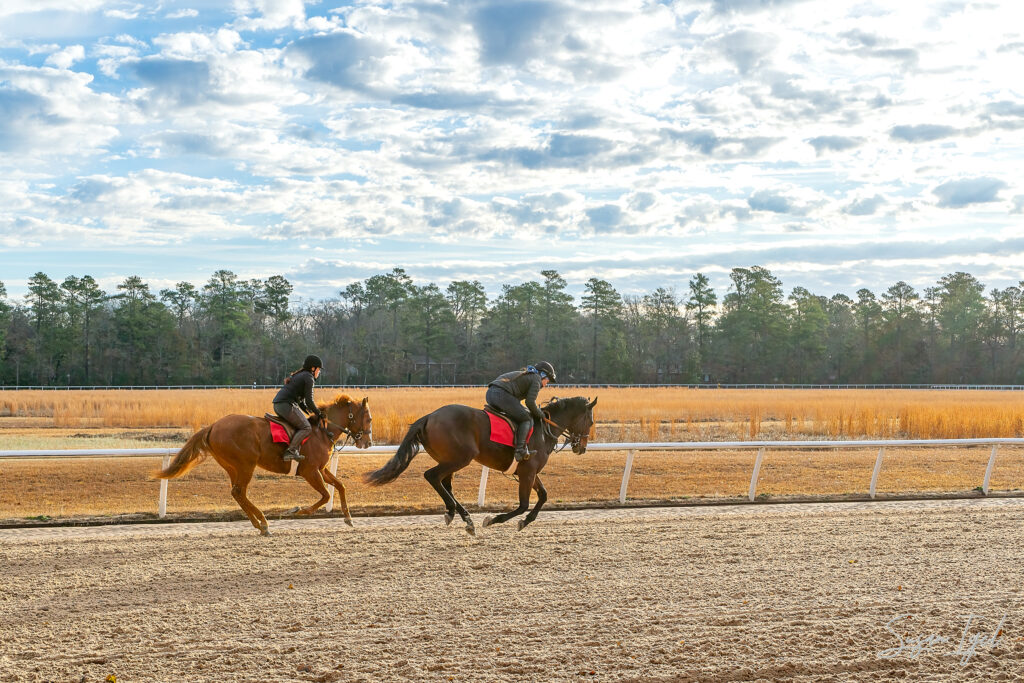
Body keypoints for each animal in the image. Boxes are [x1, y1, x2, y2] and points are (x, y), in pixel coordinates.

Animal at [155, 394, 373, 535]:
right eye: (369, 418)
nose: (368, 443)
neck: (322, 432)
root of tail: (213, 426)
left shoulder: (321, 469)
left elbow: (340, 486)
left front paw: (348, 518)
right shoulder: (310, 471)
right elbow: (326, 494)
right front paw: (298, 511)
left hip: (233, 467)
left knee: (238, 493)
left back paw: (260, 524)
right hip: (246, 464)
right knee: (239, 491)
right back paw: (264, 523)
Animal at [364, 396, 596, 535]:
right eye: (591, 422)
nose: (582, 447)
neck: (544, 429)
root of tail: (429, 416)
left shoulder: (529, 471)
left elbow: (544, 496)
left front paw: (526, 521)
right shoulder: (528, 472)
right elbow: (523, 504)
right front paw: (494, 519)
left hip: (449, 459)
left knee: (445, 484)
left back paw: (463, 517)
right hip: (461, 457)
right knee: (432, 476)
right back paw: (456, 513)